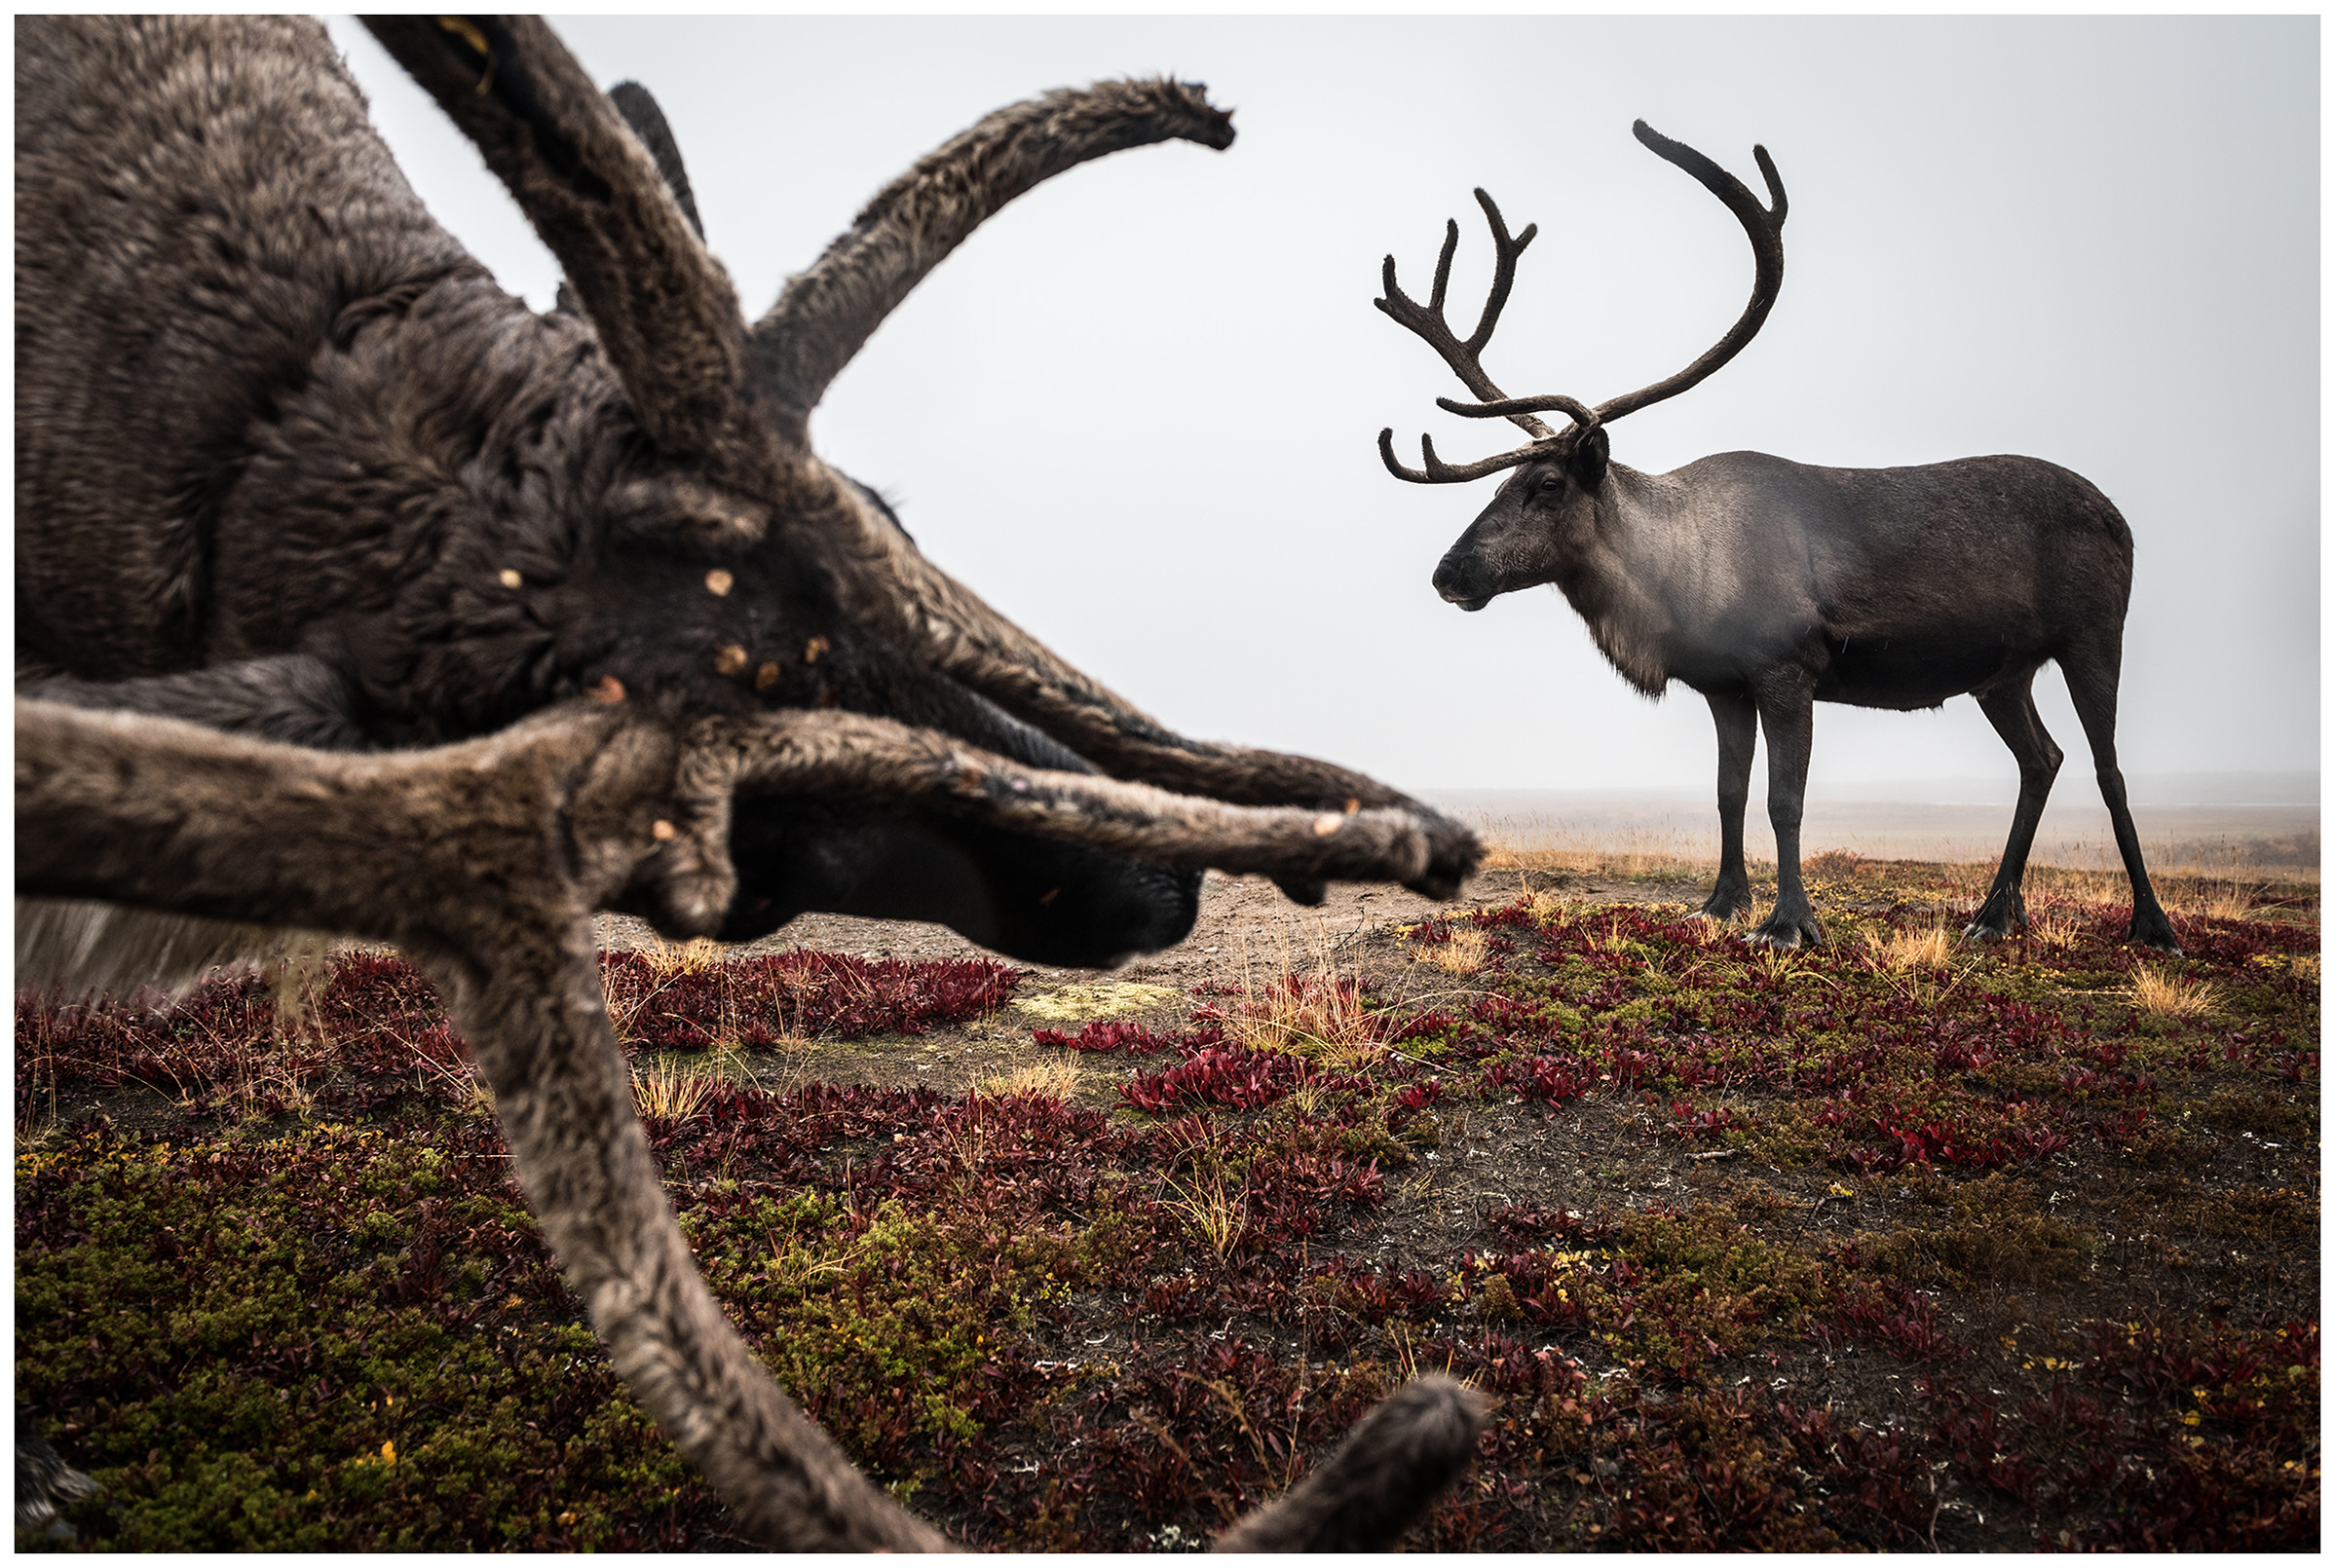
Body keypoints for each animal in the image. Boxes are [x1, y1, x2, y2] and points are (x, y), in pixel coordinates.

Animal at [1374, 120, 2179, 953]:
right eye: (1499, 484)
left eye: (1547, 486)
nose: (1449, 572)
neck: (1674, 577)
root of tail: (2121, 518)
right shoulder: (1722, 684)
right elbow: (1728, 794)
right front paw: (1720, 903)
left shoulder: (1787, 670)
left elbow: (1782, 800)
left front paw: (1790, 921)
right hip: (2001, 672)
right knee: (2041, 759)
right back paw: (1991, 914)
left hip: (2093, 635)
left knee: (2106, 770)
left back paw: (2151, 924)